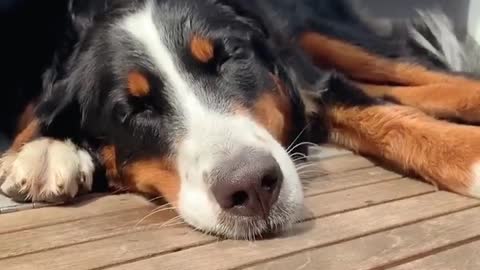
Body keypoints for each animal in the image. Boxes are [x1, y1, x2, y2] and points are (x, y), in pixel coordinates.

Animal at [0, 0, 480, 239]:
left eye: (228, 60)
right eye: (135, 110)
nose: (251, 186)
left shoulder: (310, 80)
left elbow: (379, 113)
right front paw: (46, 152)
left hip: (321, 34)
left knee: (421, 73)